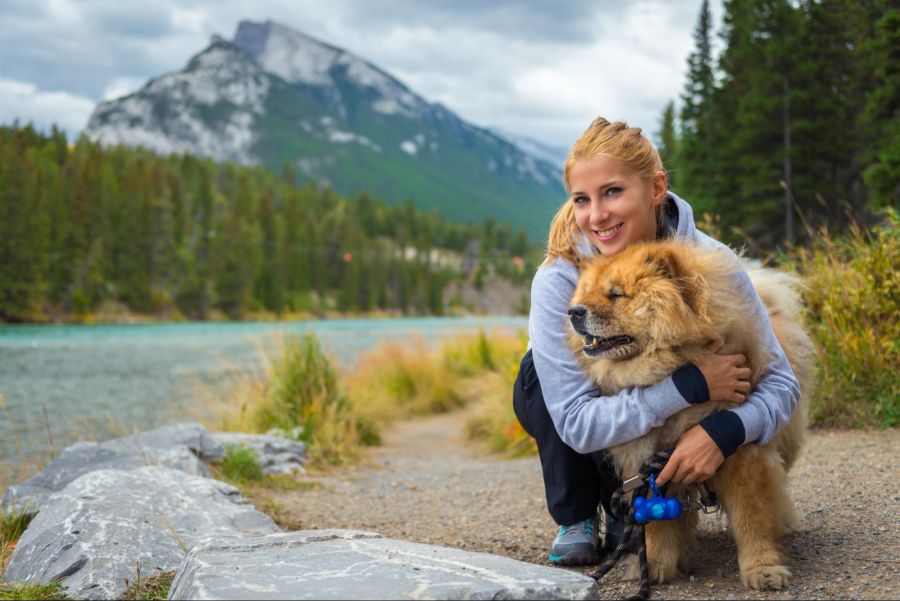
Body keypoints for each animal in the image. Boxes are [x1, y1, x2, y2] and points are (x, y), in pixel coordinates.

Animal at [568, 238, 816, 584]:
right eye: (586, 293)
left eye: (616, 294)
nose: (574, 311)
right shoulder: (648, 463)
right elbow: (655, 523)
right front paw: (654, 565)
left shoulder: (739, 450)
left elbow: (752, 517)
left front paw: (762, 568)